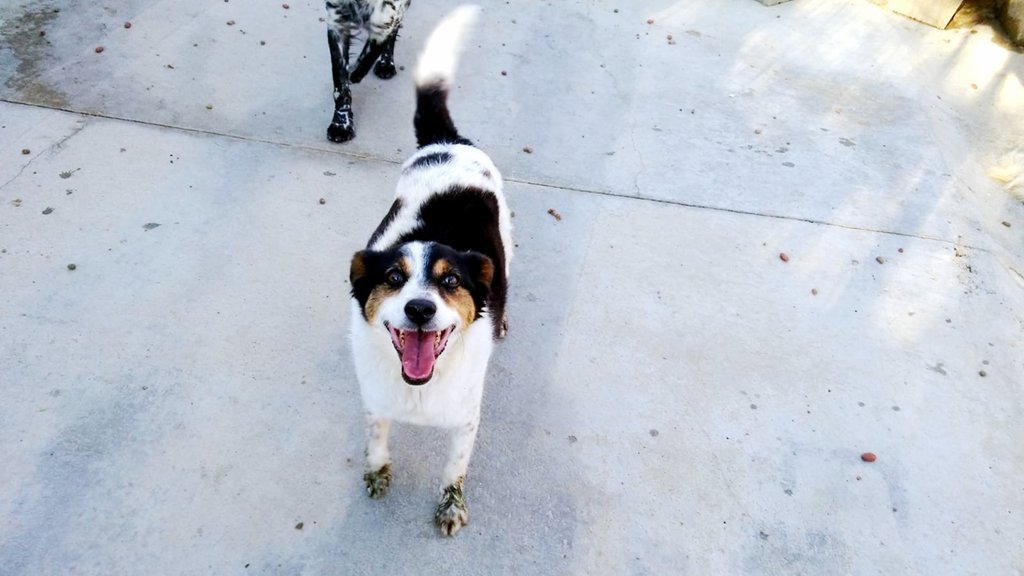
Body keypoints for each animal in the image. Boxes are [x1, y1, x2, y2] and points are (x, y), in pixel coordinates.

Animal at [325, 0, 411, 142]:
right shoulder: (336, 22)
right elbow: (340, 84)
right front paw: (341, 125)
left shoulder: (384, 22)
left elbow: (371, 52)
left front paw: (355, 73)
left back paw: (386, 64)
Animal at [347, 5, 511, 536]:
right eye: (393, 278)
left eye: (450, 281)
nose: (420, 310)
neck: (418, 387)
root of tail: (447, 141)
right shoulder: (375, 401)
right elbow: (376, 436)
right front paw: (377, 471)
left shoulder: (465, 418)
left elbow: (453, 468)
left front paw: (450, 504)